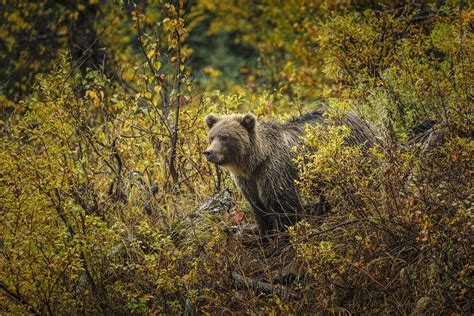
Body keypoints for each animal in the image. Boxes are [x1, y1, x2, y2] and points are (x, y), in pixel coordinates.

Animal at [204, 107, 378, 238]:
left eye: (225, 137)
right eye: (212, 137)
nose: (208, 152)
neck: (254, 162)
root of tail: (361, 118)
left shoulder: (273, 170)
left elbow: (283, 203)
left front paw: (286, 234)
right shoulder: (248, 180)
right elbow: (258, 206)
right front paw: (264, 235)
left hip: (356, 150)